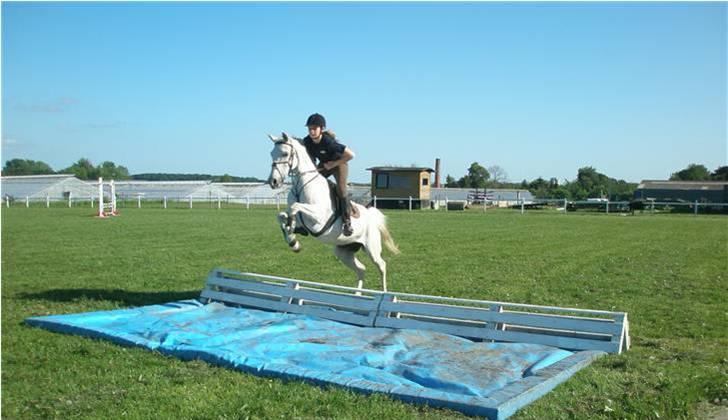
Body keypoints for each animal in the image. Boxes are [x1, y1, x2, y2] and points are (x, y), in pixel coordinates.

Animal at [266, 133, 398, 290]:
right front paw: (293, 240)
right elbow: (281, 216)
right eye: (271, 153)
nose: (273, 182)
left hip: (371, 248)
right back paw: (356, 294)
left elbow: (295, 207)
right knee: (361, 269)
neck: (301, 186)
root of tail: (372, 218)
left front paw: (292, 239)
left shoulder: (318, 219)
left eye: (285, 153)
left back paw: (384, 292)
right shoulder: (302, 222)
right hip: (343, 251)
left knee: (382, 265)